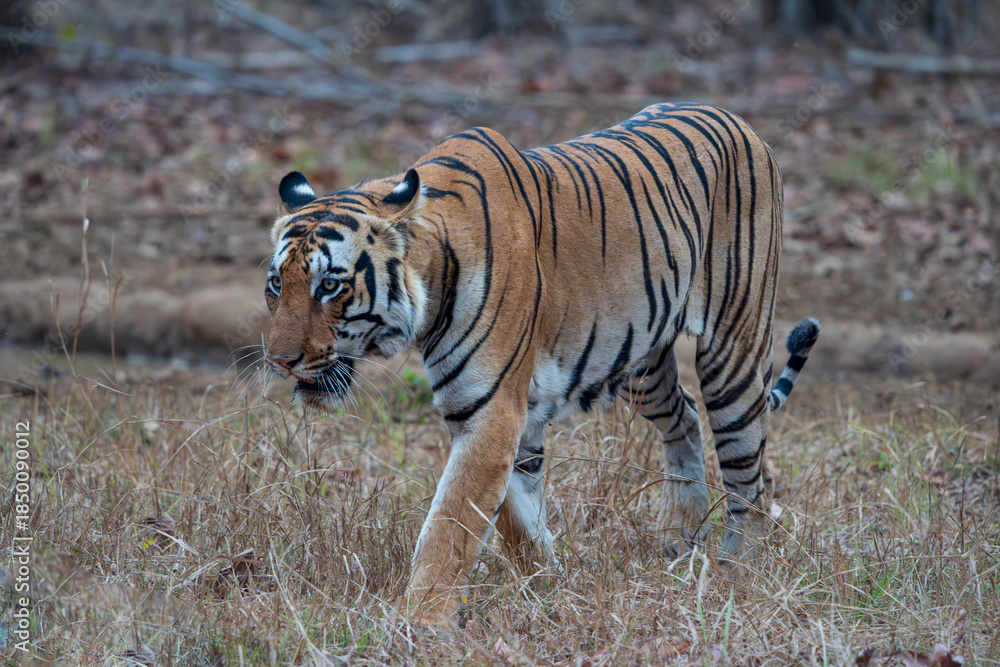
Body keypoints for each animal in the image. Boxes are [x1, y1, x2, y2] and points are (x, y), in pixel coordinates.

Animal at [261, 102, 820, 629]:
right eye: (277, 285)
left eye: (329, 285)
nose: (279, 359)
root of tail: (740, 121)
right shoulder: (508, 414)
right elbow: (517, 513)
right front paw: (545, 580)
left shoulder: (490, 412)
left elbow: (451, 524)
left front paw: (419, 622)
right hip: (641, 361)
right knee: (683, 415)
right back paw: (682, 537)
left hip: (733, 351)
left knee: (749, 476)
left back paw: (735, 574)